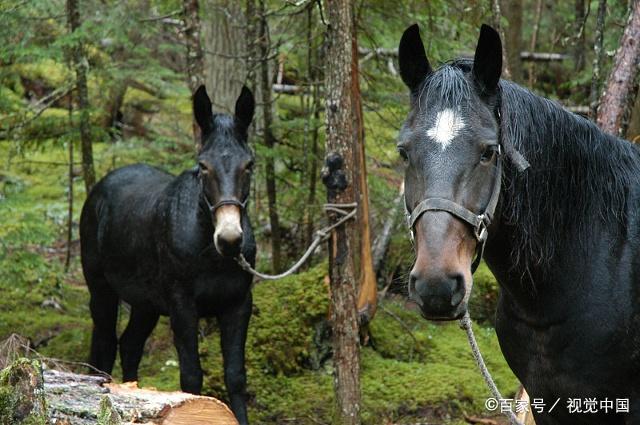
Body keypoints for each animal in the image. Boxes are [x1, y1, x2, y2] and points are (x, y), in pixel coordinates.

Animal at [81, 84, 256, 422]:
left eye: (249, 165)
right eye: (203, 166)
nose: (229, 239)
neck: (209, 254)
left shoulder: (238, 304)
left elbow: (236, 376)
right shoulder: (181, 304)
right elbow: (191, 376)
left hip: (145, 304)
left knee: (130, 345)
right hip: (101, 290)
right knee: (105, 348)